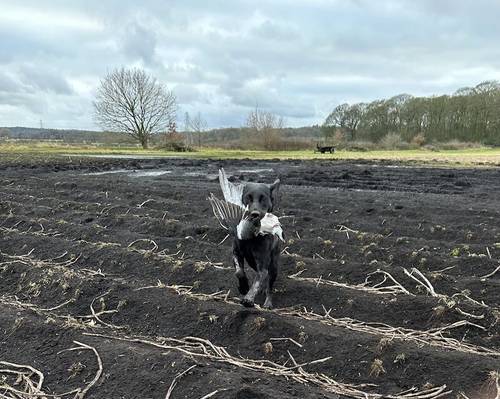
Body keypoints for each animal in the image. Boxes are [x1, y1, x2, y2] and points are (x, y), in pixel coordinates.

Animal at [231, 180, 280, 310]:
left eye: (263, 198)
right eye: (248, 197)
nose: (255, 214)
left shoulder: (262, 263)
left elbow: (257, 281)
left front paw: (248, 299)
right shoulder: (236, 252)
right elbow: (239, 272)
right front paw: (243, 287)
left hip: (274, 265)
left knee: (269, 286)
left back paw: (268, 303)